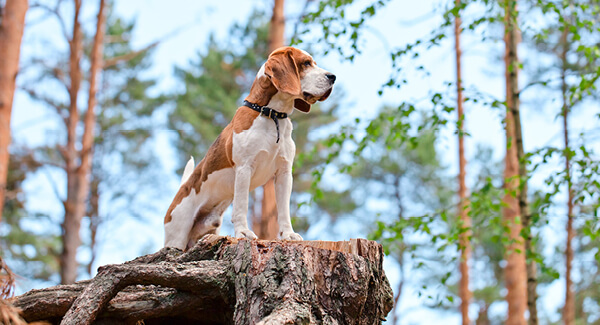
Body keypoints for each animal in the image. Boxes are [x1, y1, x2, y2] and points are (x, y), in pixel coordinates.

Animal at [162, 46, 336, 248]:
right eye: (306, 63)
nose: (333, 77)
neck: (271, 114)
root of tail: (181, 190)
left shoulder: (284, 173)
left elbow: (284, 209)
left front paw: (288, 234)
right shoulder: (245, 168)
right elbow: (241, 206)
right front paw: (243, 232)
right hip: (177, 235)